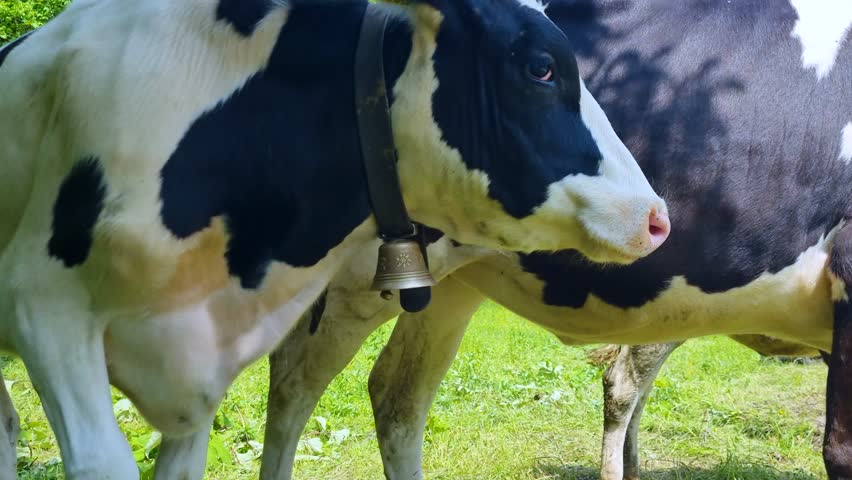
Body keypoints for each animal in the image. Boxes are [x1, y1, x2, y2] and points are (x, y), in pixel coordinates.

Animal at [253, 1, 852, 479]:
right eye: (543, 68)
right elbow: (839, 449)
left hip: (446, 278)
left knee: (397, 392)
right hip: (347, 266)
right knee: (294, 380)